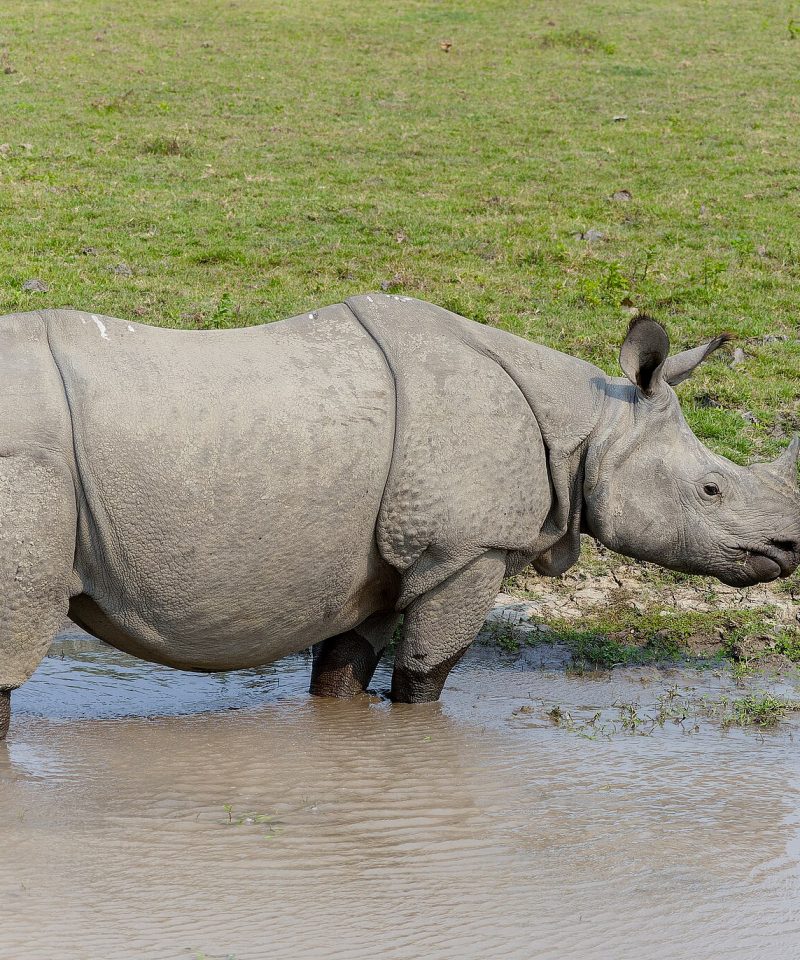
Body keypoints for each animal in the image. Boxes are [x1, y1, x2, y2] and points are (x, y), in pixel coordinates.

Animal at [1, 294, 798, 738]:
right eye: (711, 491)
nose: (787, 549)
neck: (592, 423)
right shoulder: (466, 550)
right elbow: (426, 678)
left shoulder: (382, 563)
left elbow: (343, 673)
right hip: (26, 465)